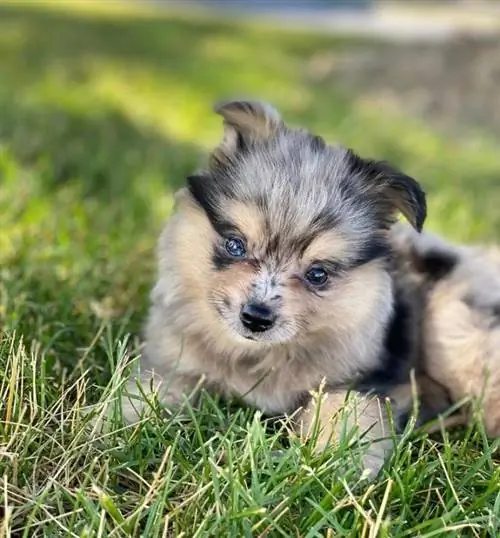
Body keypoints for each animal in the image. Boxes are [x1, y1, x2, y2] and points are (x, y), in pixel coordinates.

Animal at [118, 98, 430, 476]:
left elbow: (347, 411)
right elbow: (150, 392)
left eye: (317, 274)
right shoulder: (173, 362)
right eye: (235, 245)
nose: (256, 318)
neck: (255, 357)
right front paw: (117, 428)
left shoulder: (363, 379)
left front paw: (329, 463)